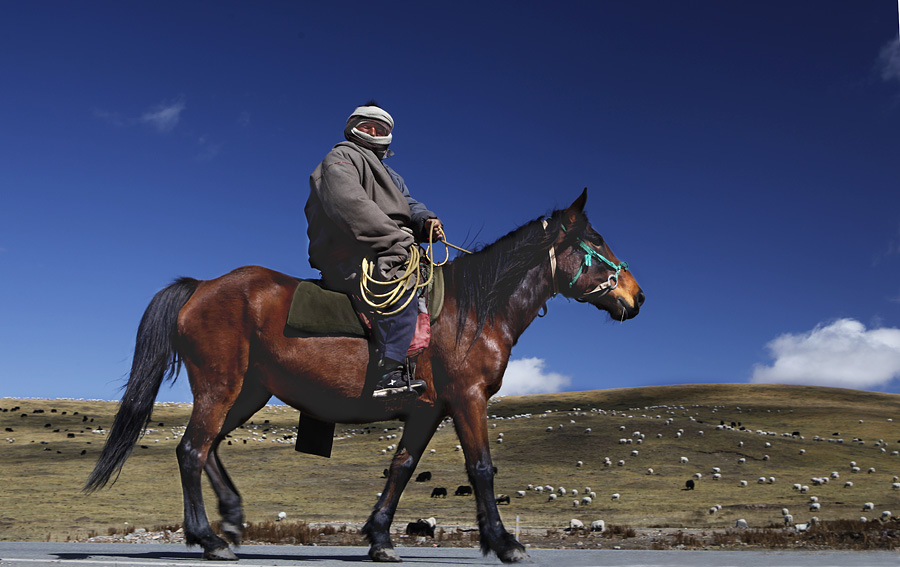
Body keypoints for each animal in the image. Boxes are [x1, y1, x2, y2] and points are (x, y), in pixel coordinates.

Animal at [84, 189, 643, 563]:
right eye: (595, 242)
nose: (636, 296)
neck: (474, 310)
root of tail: (202, 286)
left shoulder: (428, 409)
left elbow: (400, 467)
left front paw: (379, 538)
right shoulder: (468, 398)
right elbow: (482, 469)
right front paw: (504, 543)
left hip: (248, 392)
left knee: (209, 448)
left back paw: (233, 518)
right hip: (220, 387)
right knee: (192, 450)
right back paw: (209, 538)